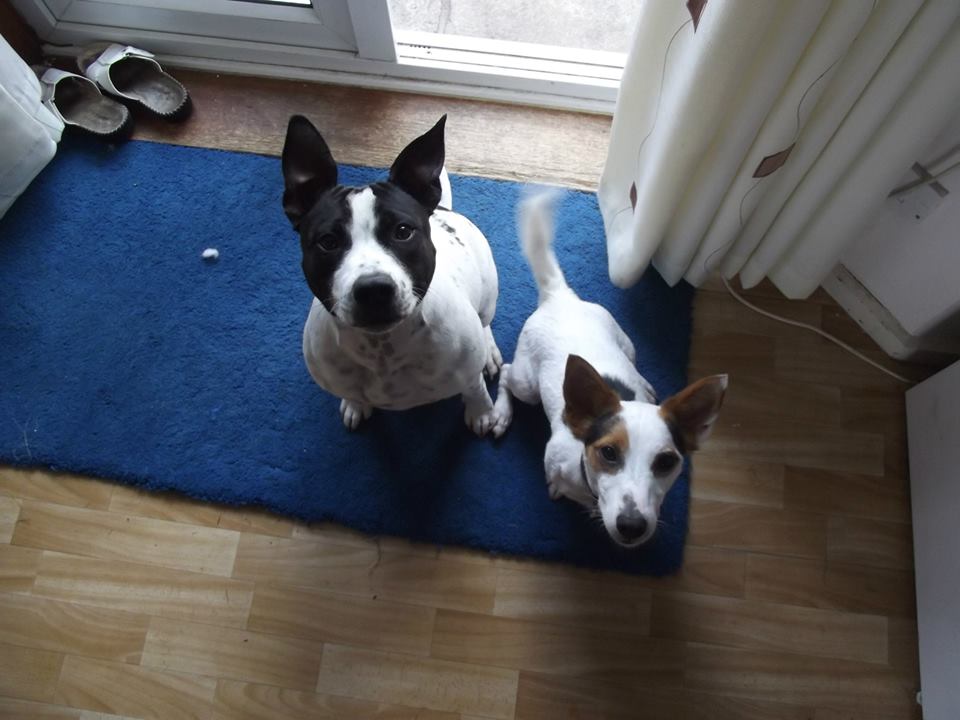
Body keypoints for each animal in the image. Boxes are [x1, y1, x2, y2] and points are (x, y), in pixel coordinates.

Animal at [281, 115, 504, 435]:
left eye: (403, 231)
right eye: (328, 241)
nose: (373, 289)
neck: (383, 351)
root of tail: (441, 207)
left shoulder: (467, 373)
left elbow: (475, 389)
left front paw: (482, 413)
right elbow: (352, 393)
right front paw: (355, 404)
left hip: (487, 296)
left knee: (485, 322)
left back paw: (489, 352)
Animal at [492, 193, 727, 547]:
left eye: (666, 462)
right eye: (608, 453)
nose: (632, 525)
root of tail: (561, 298)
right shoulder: (556, 459)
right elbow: (561, 485)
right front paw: (558, 489)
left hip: (627, 344)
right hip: (527, 384)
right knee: (507, 372)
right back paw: (500, 413)